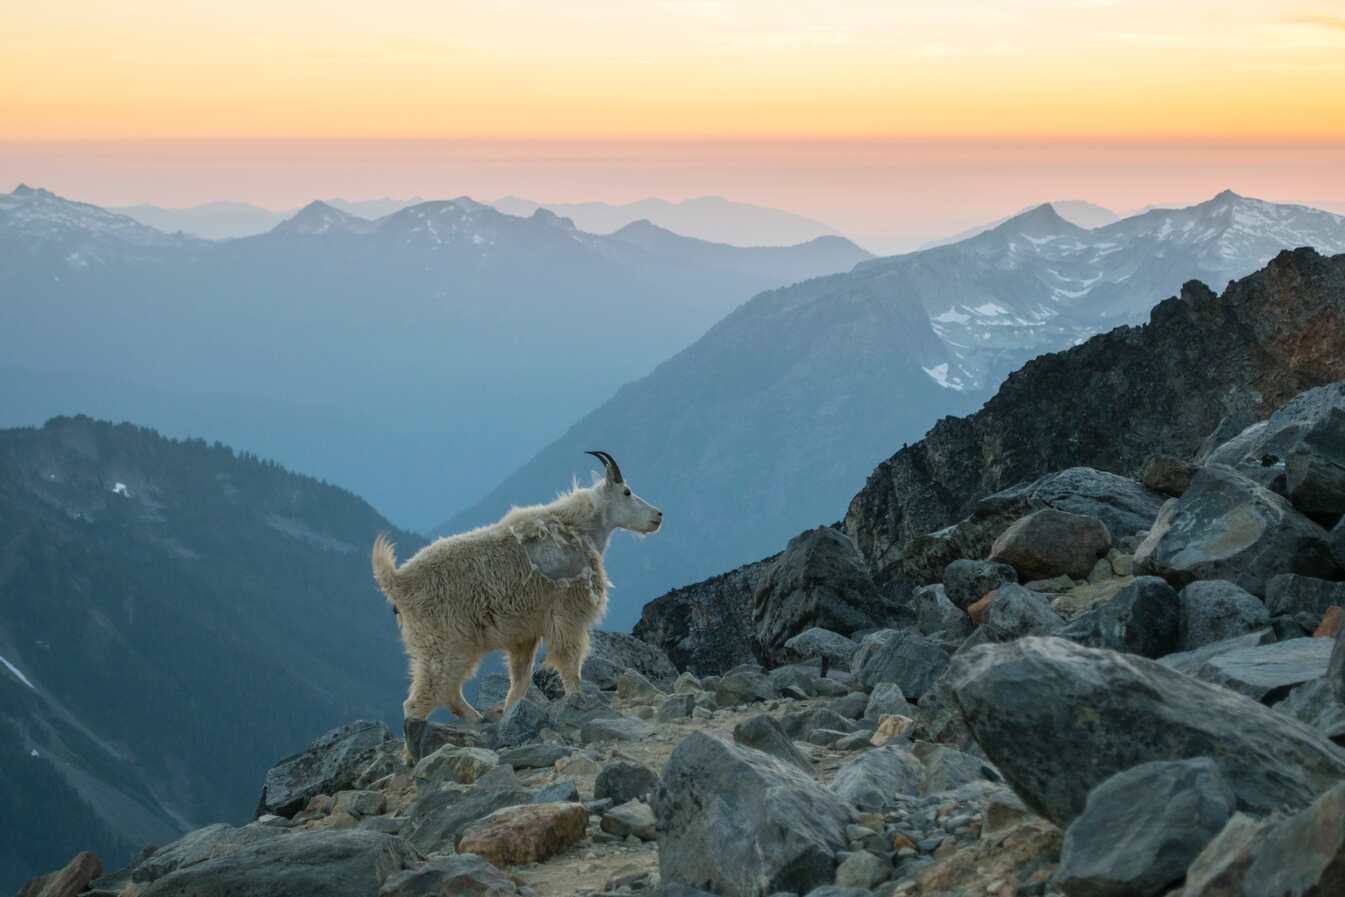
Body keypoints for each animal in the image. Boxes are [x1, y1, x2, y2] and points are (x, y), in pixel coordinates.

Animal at [372, 451, 662, 724]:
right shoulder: (568, 615)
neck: (579, 529)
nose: (658, 516)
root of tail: (398, 583)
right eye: (627, 491)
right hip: (443, 645)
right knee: (420, 701)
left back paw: (478, 720)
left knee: (449, 693)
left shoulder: (525, 635)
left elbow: (520, 681)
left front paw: (510, 713)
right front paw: (578, 701)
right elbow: (569, 664)